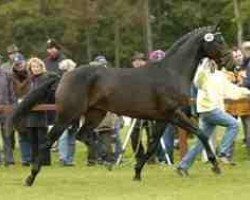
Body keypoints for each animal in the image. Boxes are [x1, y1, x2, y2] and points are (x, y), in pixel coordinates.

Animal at [11, 25, 234, 186]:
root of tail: (63, 76)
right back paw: (30, 177)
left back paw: (107, 161)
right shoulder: (175, 114)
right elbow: (201, 133)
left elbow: (152, 146)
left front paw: (137, 173)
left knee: (83, 135)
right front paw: (215, 166)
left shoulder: (163, 119)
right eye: (219, 41)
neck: (171, 72)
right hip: (68, 115)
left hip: (95, 113)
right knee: (49, 141)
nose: (230, 61)